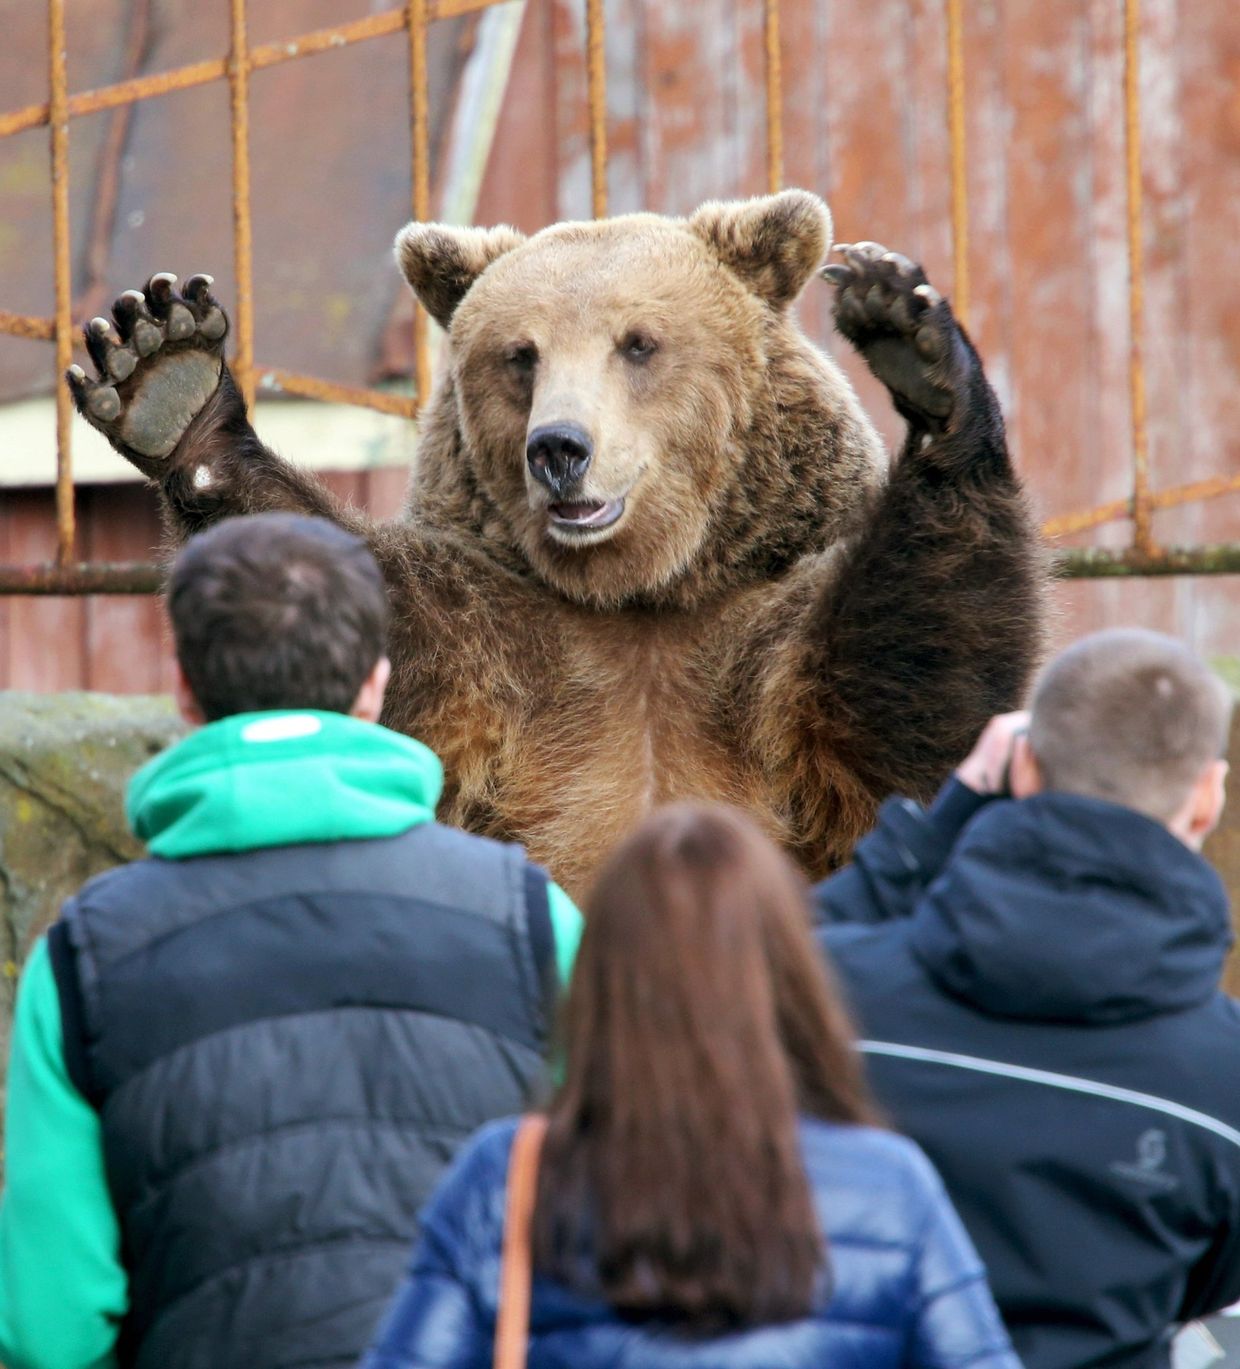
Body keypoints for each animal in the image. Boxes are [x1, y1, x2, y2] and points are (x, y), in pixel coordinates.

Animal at [68, 190, 1042, 899]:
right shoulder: (494, 641)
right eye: (520, 353)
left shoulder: (761, 632)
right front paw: (165, 371)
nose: (559, 448)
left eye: (638, 343)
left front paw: (916, 347)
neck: (641, 592)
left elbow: (907, 686)